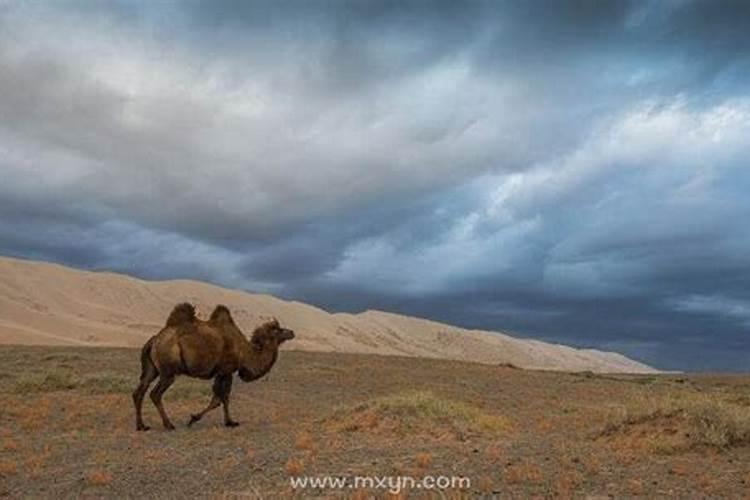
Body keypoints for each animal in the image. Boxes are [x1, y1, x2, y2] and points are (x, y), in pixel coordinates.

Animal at [132, 302, 294, 432]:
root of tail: (154, 340)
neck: (245, 352)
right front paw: (196, 419)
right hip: (168, 371)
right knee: (155, 394)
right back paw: (169, 425)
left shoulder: (220, 372)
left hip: (152, 369)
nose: (292, 332)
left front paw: (227, 421)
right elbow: (220, 398)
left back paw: (141, 426)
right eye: (278, 329)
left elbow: (221, 398)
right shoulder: (226, 370)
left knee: (139, 391)